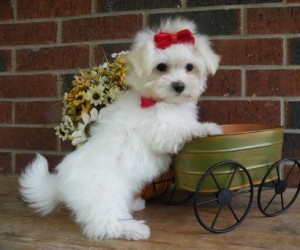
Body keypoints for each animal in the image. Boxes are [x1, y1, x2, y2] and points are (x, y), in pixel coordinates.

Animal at [18, 18, 220, 240]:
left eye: (190, 67)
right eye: (161, 67)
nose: (179, 85)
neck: (158, 100)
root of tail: (59, 184)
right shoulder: (159, 129)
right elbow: (182, 128)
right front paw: (208, 128)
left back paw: (134, 205)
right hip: (105, 193)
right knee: (104, 223)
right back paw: (133, 229)